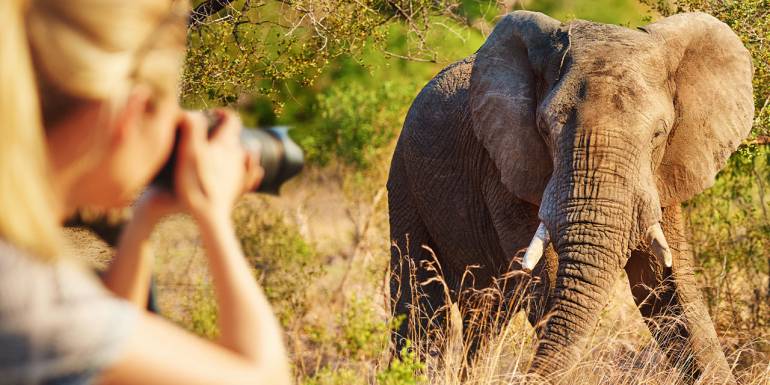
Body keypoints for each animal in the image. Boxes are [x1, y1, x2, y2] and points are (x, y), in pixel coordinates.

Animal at [384, 9, 752, 380]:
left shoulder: (663, 173)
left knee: (486, 314)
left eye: (658, 134)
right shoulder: (506, 166)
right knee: (423, 307)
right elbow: (547, 284)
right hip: (403, 177)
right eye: (544, 129)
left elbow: (666, 289)